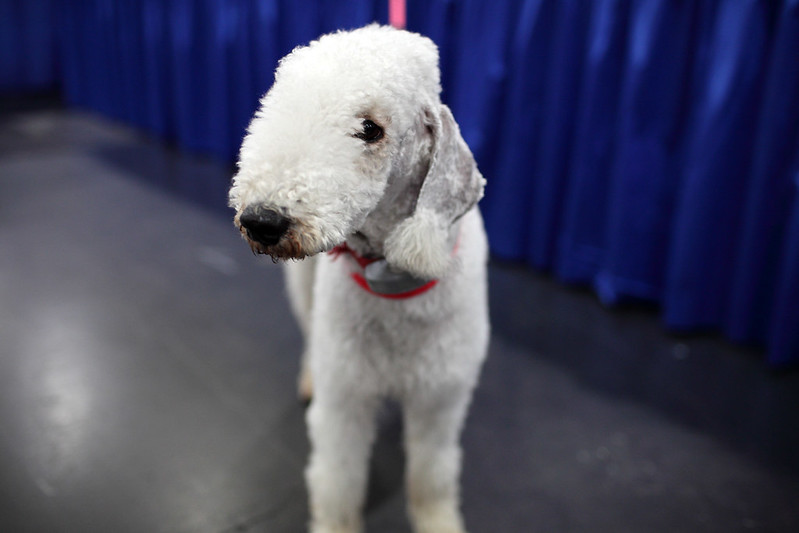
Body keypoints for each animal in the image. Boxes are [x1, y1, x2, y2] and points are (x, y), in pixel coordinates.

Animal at [228, 23, 490, 532]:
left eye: (371, 129)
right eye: (276, 103)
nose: (261, 220)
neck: (390, 280)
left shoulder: (441, 397)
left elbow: (432, 473)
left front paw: (438, 520)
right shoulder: (345, 399)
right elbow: (338, 477)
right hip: (306, 294)